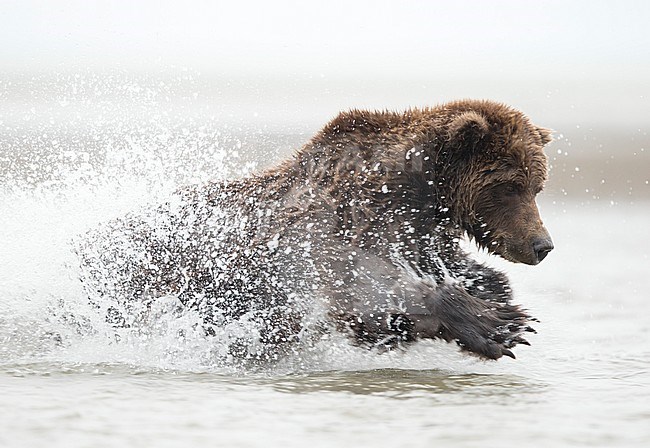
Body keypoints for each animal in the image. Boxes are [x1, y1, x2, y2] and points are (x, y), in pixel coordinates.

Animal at [76, 100, 552, 362]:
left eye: (537, 184)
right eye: (509, 186)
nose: (541, 245)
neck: (415, 190)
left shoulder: (414, 232)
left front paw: (499, 295)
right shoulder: (332, 231)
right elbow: (361, 290)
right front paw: (501, 326)